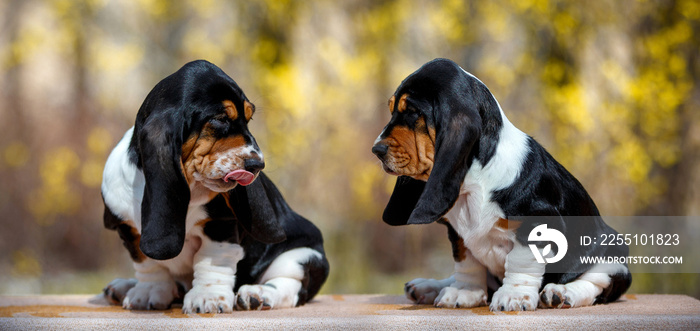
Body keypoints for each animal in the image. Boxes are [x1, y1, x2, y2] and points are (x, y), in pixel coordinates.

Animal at [374, 59, 632, 312]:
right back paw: (427, 287)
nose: (376, 150)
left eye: (412, 112)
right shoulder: (458, 232)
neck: (475, 184)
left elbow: (521, 262)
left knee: (597, 283)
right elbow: (466, 261)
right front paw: (464, 292)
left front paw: (513, 295)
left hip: (611, 255)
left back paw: (561, 293)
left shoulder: (537, 223)